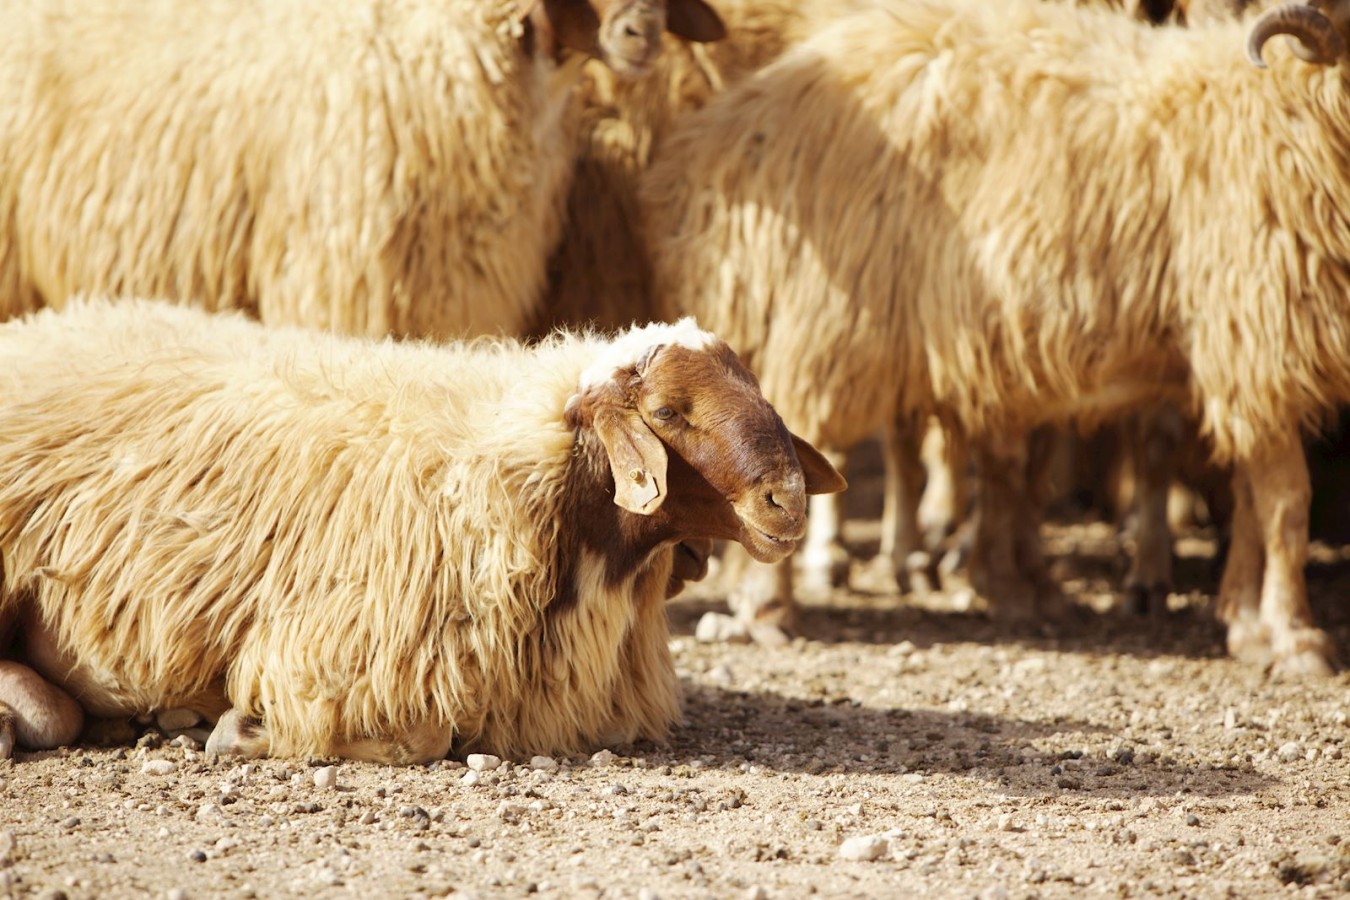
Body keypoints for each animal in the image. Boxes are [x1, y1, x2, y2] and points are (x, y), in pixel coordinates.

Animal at [639, 0, 1350, 674]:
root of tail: (734, 127)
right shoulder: (1257, 340)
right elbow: (1286, 505)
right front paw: (1297, 639)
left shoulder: (1248, 363)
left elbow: (1252, 502)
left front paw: (1250, 625)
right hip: (832, 324)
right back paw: (771, 607)